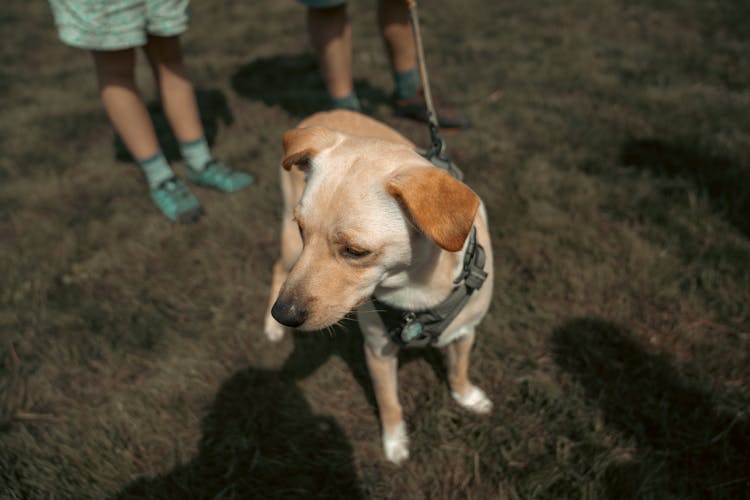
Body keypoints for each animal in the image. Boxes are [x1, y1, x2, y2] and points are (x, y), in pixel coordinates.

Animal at [264, 109, 494, 464]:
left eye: (356, 251)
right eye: (304, 229)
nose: (283, 314)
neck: (416, 290)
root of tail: (324, 112)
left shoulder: (465, 332)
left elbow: (459, 370)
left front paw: (467, 397)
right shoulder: (377, 351)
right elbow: (388, 402)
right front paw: (395, 443)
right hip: (289, 247)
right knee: (277, 268)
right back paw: (270, 329)